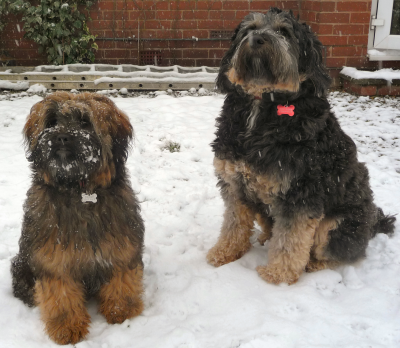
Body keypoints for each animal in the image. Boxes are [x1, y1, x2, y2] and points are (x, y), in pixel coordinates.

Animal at [9, 92, 145, 346]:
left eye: (85, 122)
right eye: (52, 122)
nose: (61, 137)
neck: (79, 190)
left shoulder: (122, 246)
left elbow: (121, 279)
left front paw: (121, 311)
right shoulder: (53, 258)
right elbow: (61, 295)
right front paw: (67, 328)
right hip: (22, 265)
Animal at [208, 8, 396, 286]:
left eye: (284, 32)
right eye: (249, 29)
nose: (257, 39)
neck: (262, 104)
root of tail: (373, 223)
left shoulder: (301, 193)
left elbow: (291, 240)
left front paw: (278, 275)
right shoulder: (235, 184)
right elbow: (233, 224)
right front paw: (224, 252)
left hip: (339, 223)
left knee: (340, 251)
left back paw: (315, 264)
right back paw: (264, 238)